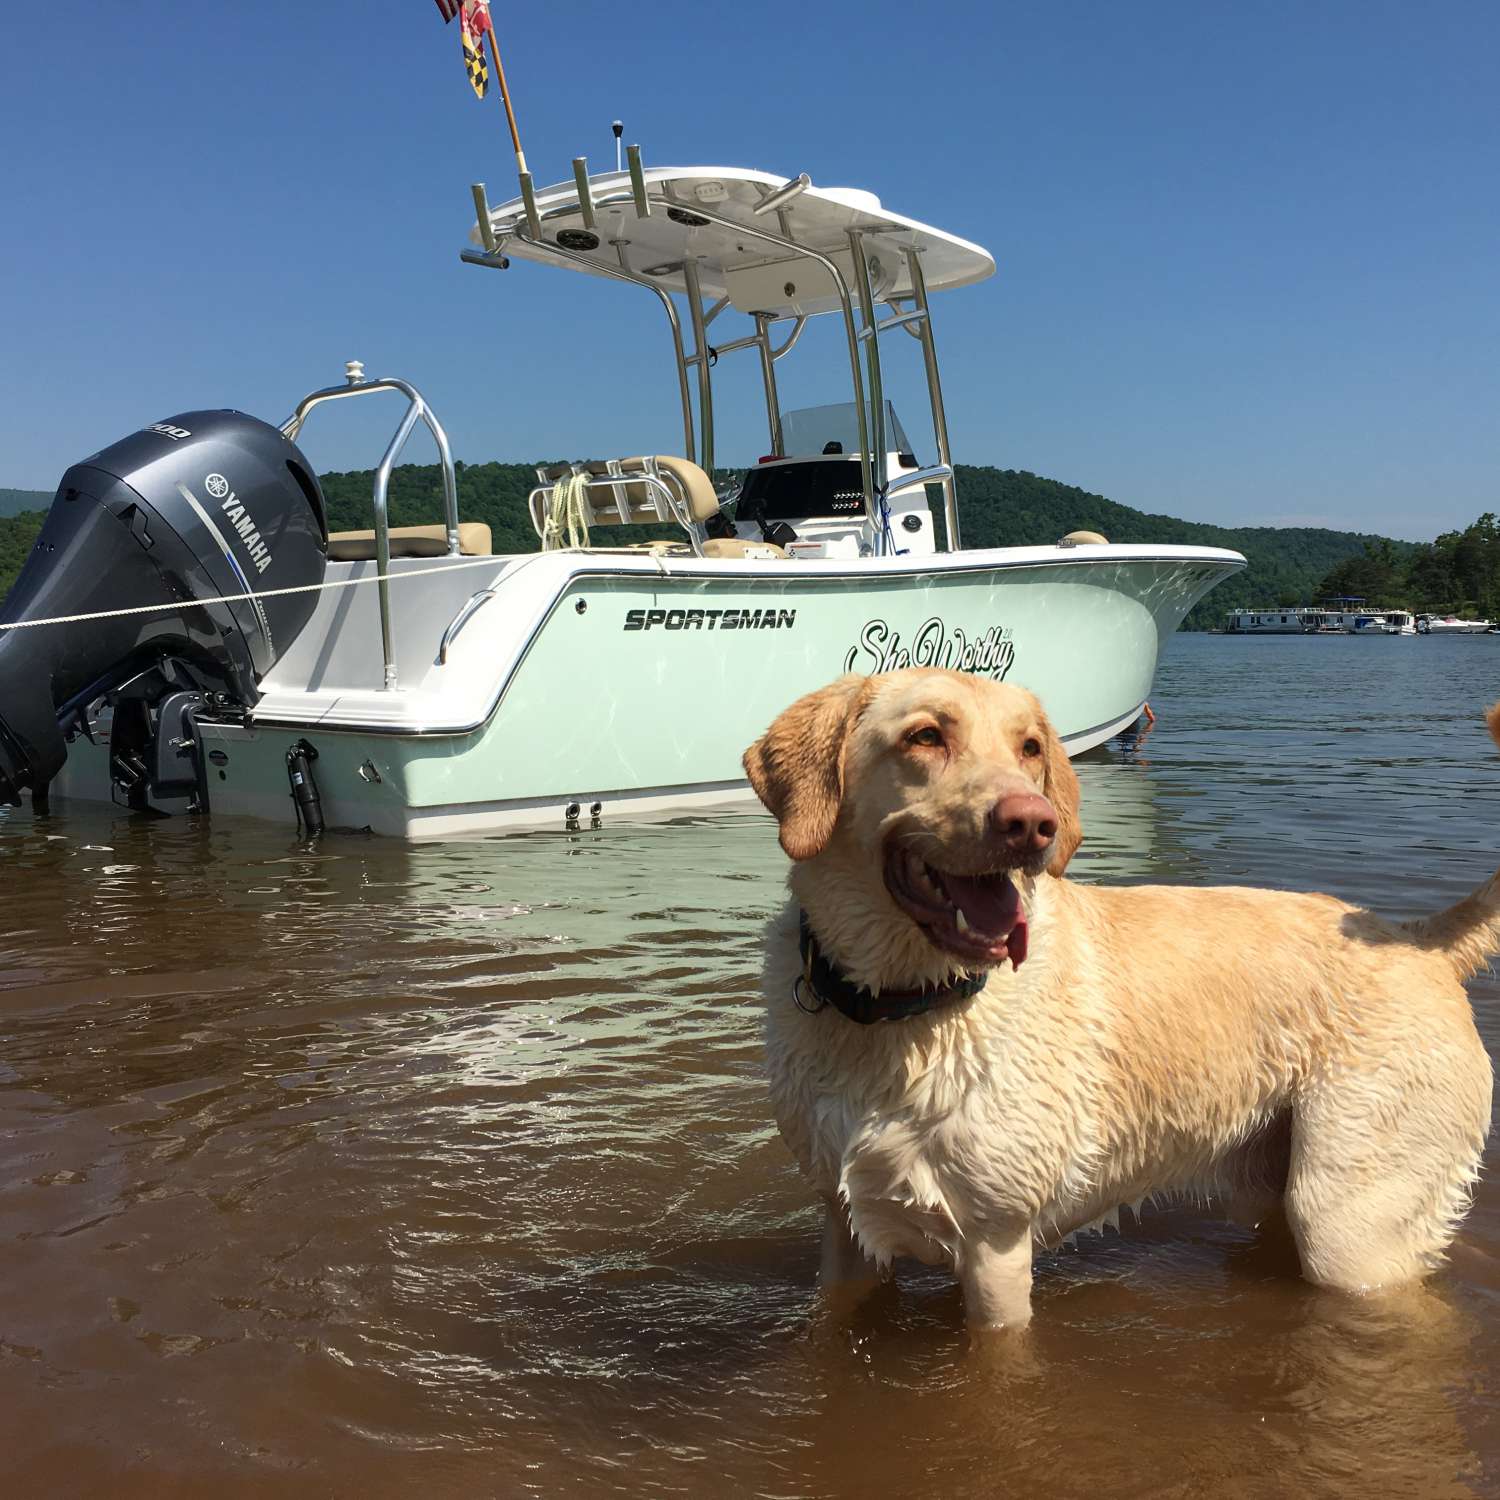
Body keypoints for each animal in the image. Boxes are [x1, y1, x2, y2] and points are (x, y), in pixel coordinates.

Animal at [744, 675, 1494, 1332]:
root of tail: (1422, 941)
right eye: (925, 736)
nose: (1033, 824)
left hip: (1351, 1221)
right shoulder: (843, 1230)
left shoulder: (996, 1248)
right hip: (1273, 1188)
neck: (903, 1008)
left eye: (1030, 748)